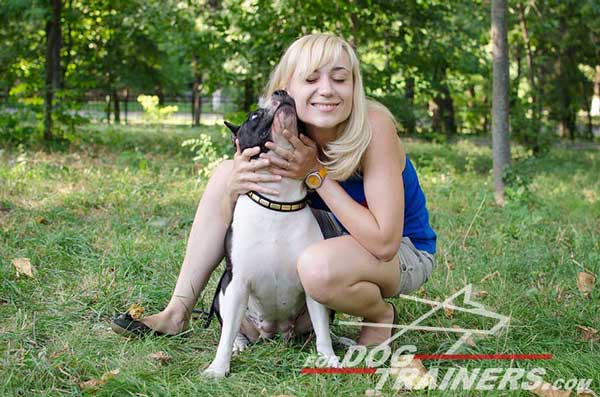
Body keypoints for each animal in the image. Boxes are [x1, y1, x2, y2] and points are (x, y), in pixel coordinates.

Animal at [202, 90, 340, 378]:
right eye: (254, 115)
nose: (282, 92)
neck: (278, 204)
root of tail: (273, 333)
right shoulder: (237, 282)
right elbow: (226, 334)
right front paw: (218, 368)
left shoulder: (312, 289)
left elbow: (322, 329)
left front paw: (328, 358)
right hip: (222, 292)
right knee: (232, 328)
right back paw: (239, 344)